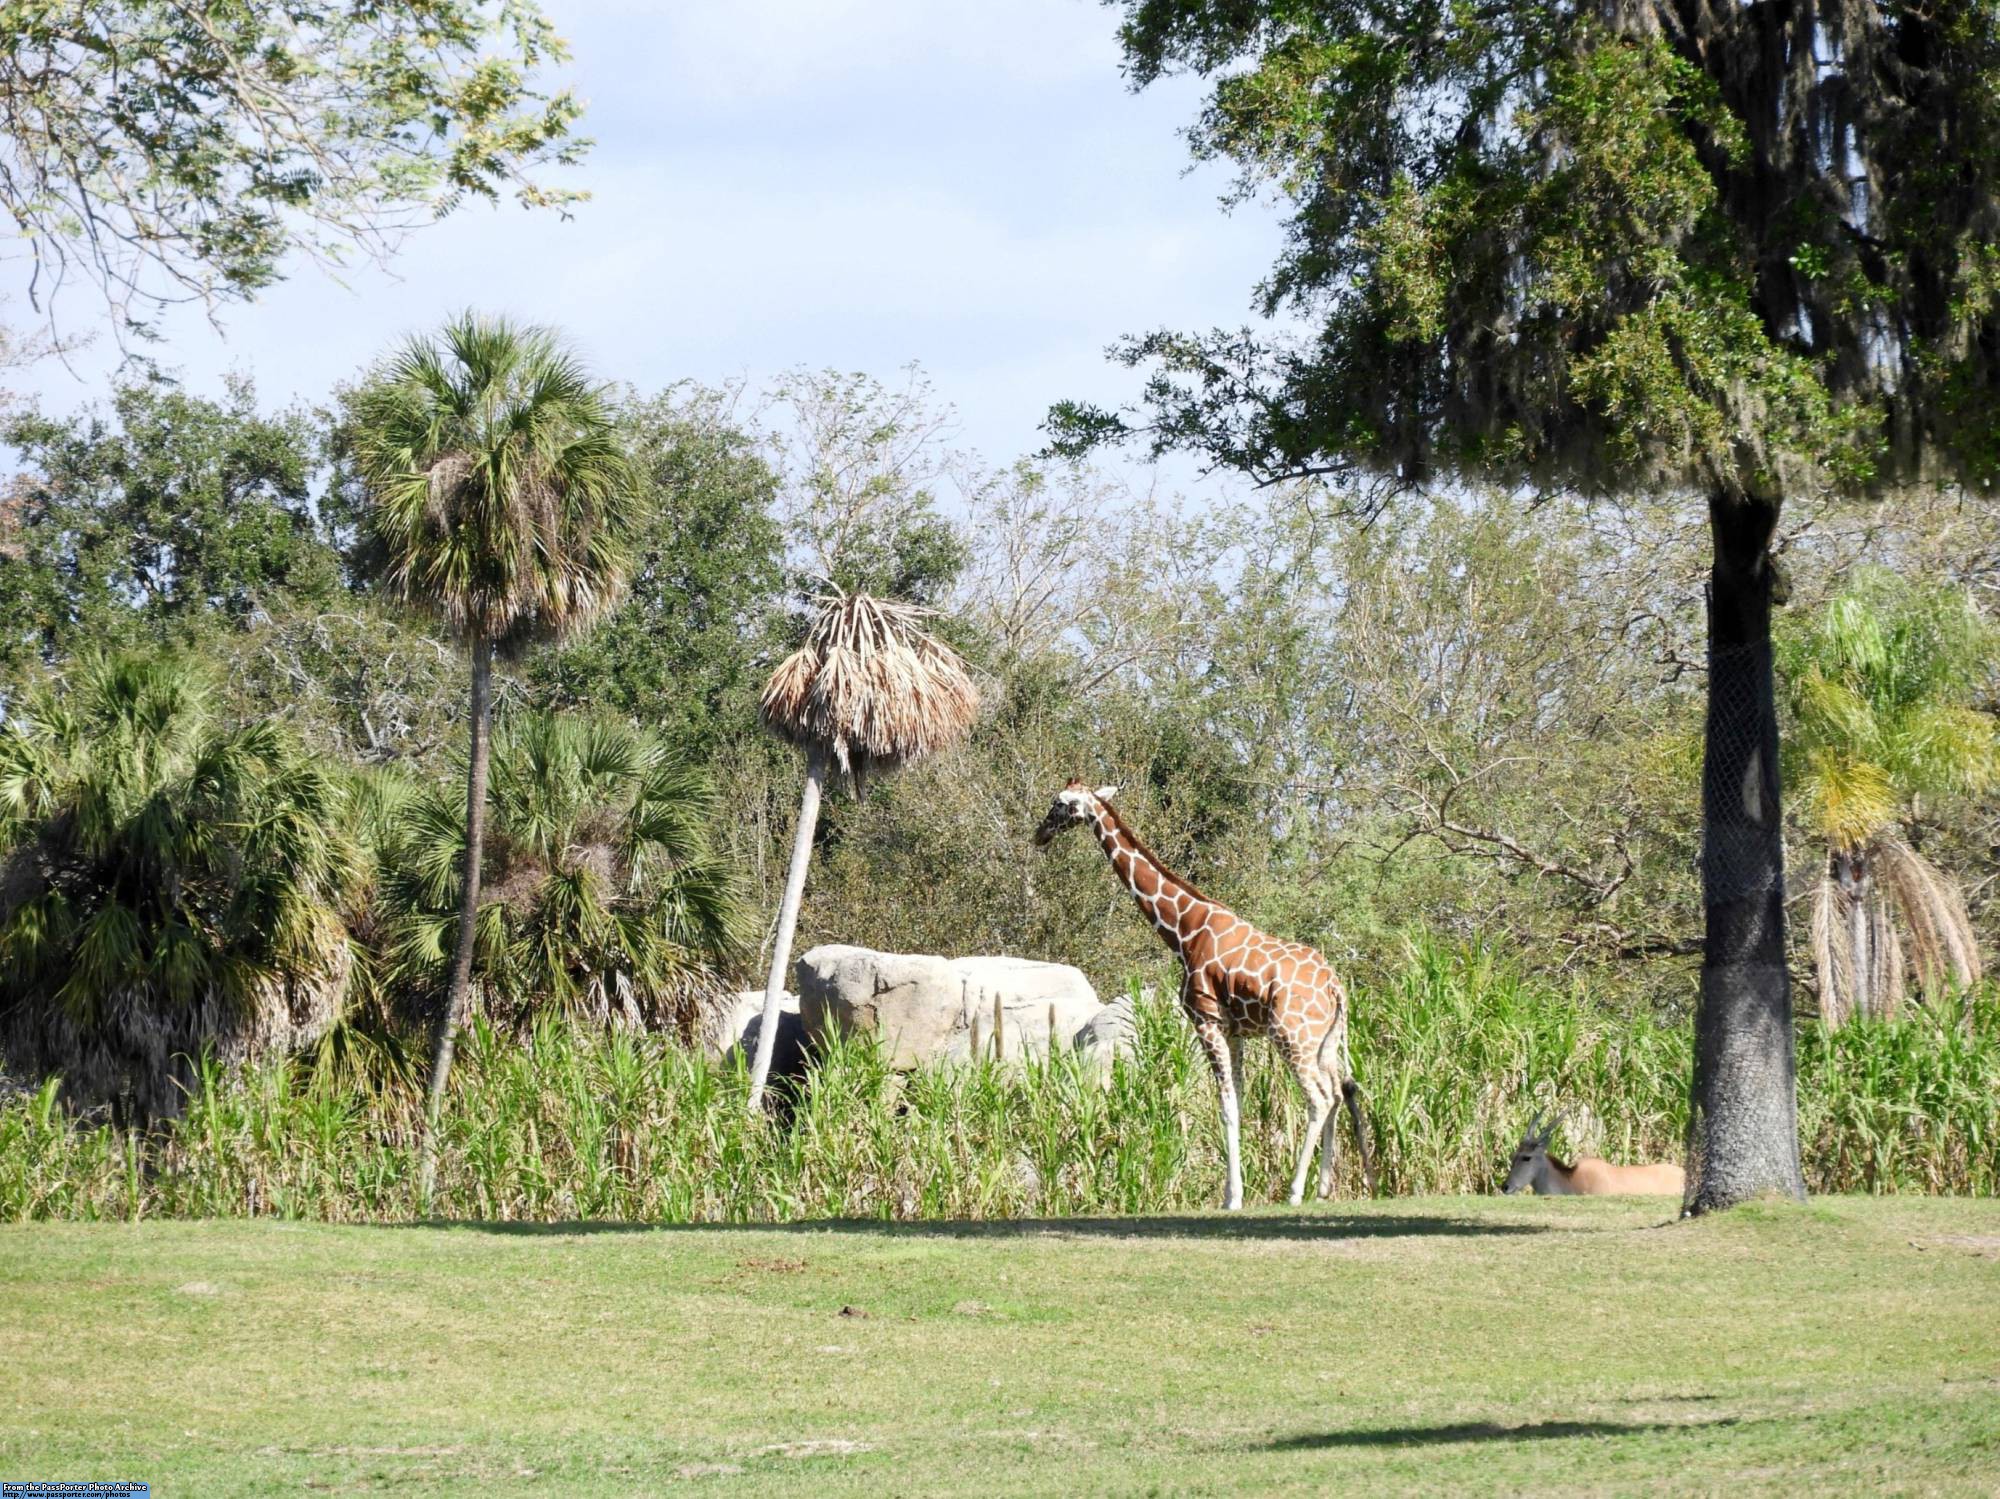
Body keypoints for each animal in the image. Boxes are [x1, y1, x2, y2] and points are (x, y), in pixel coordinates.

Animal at [1032, 779, 1376, 1215]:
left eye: (1059, 803)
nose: (1040, 834)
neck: (1182, 931)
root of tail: (1335, 986)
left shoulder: (1205, 1019)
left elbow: (1225, 1105)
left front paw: (1233, 1197)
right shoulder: (1234, 1030)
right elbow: (1239, 1103)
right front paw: (1235, 1190)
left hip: (1291, 1035)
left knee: (1319, 1097)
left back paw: (1297, 1190)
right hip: (1324, 1040)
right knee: (1339, 1090)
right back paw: (1325, 1188)